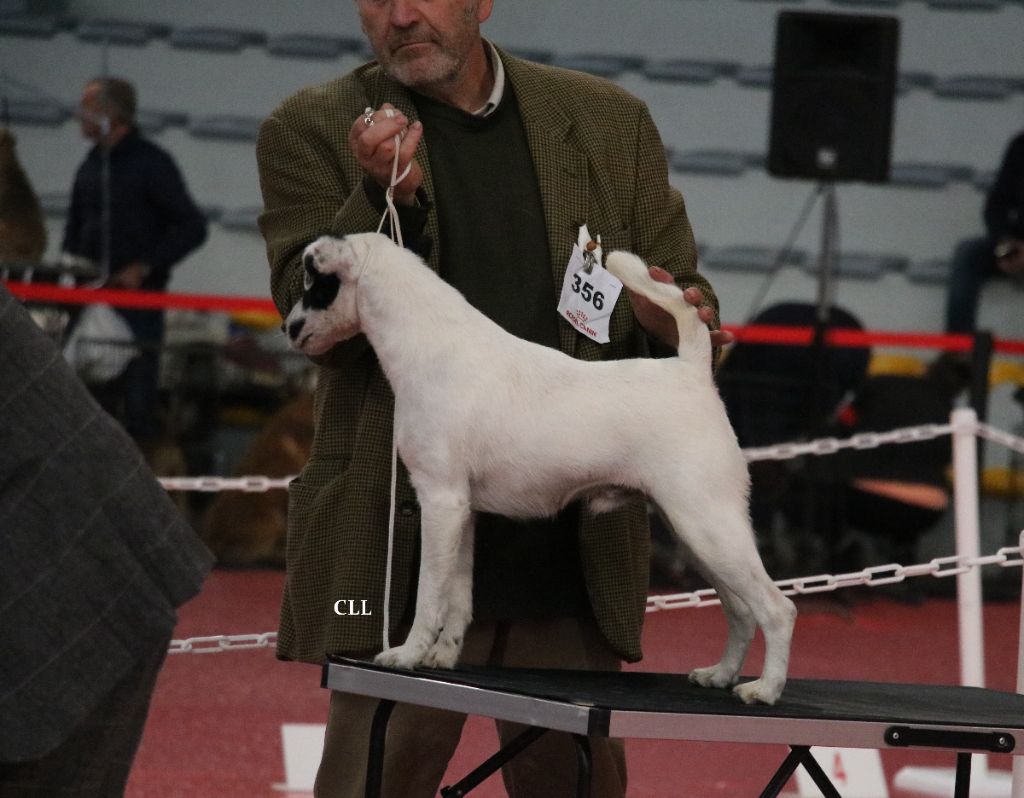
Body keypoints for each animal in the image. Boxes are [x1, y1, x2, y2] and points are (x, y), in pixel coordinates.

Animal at [284, 230, 794, 704]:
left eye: (316, 284)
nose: (289, 328)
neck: (433, 344)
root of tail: (691, 372)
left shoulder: (439, 501)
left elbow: (430, 594)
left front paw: (408, 655)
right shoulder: (460, 513)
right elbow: (457, 597)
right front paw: (442, 657)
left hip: (708, 526)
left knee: (776, 608)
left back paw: (765, 689)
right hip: (697, 534)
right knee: (740, 610)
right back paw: (721, 675)